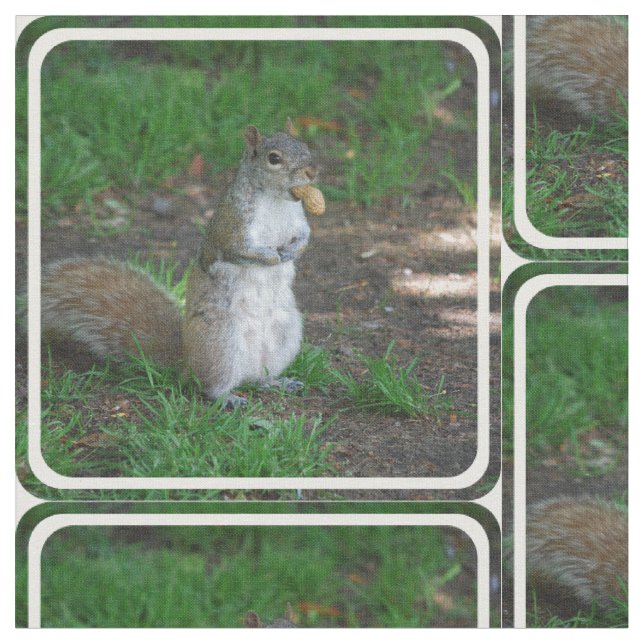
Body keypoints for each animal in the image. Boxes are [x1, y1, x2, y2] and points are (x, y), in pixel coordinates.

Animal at [41, 121, 322, 407]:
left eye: (304, 146)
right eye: (273, 158)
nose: (312, 172)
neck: (276, 200)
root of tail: (186, 362)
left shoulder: (298, 220)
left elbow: (304, 236)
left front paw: (291, 251)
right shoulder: (232, 226)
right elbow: (240, 250)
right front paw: (272, 257)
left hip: (285, 334)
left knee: (258, 378)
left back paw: (277, 381)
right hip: (220, 341)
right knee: (211, 385)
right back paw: (227, 398)